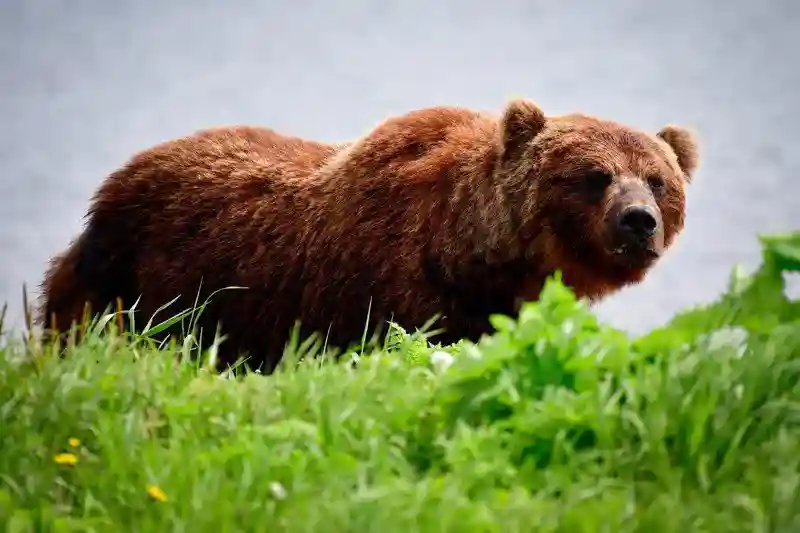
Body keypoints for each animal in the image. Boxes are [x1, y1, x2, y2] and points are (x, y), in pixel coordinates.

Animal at [39, 98, 700, 370]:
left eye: (657, 179)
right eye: (594, 175)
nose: (638, 220)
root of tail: (116, 179)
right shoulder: (385, 287)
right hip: (135, 284)